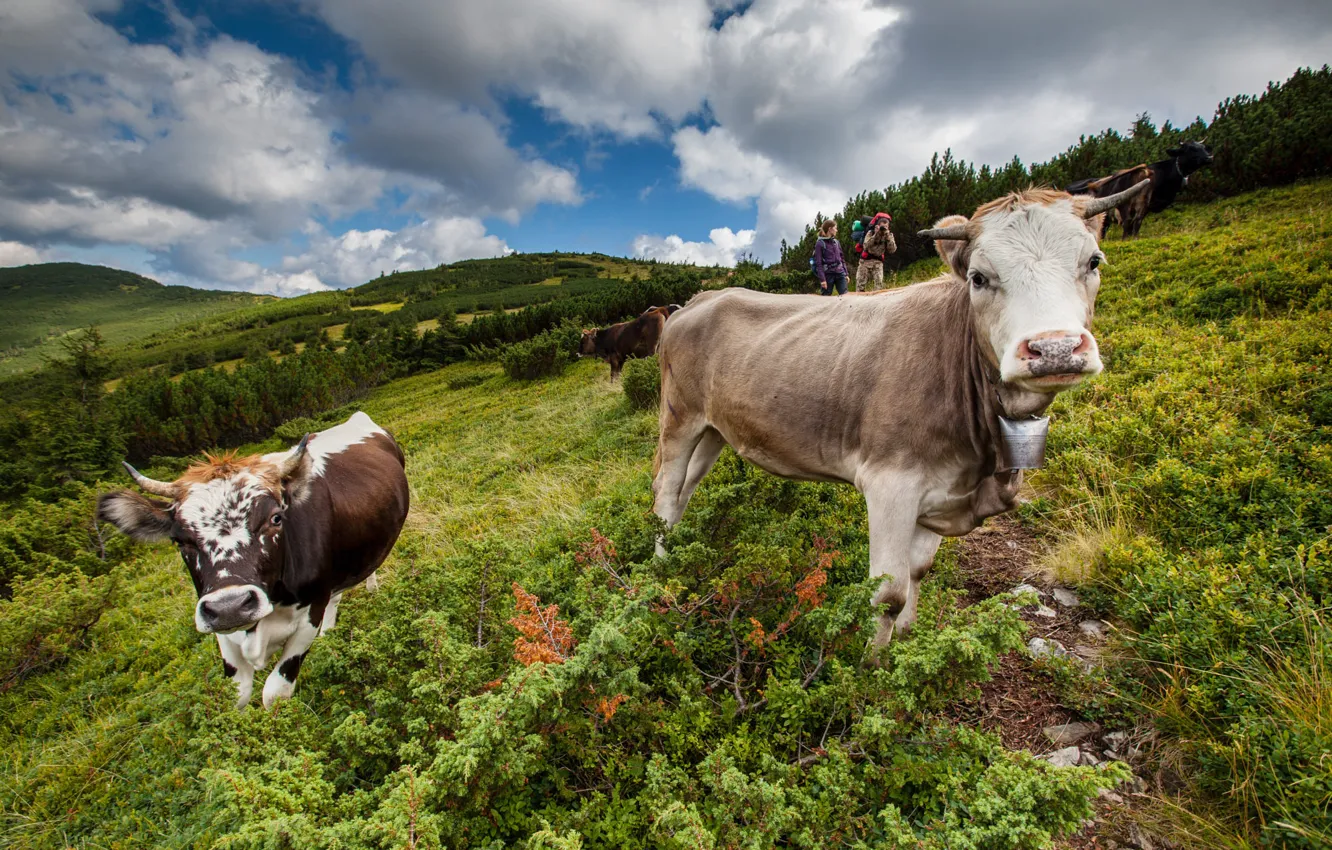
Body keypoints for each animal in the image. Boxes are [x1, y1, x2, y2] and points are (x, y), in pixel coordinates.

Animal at [96, 412, 409, 708]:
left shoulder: (308, 615)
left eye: (275, 518)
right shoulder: (224, 634)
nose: (230, 607)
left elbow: (275, 693)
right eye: (180, 540)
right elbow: (236, 696)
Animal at [650, 181, 1150, 651]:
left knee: (687, 489)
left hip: (714, 429)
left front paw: (903, 649)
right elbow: (888, 595)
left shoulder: (944, 489)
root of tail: (699, 299)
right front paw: (869, 672)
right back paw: (659, 574)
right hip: (679, 417)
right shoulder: (891, 482)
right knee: (666, 492)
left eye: (1094, 262)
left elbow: (919, 573)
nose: (1054, 349)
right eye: (979, 278)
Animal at [1066, 140, 1212, 238]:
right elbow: (1128, 222)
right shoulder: (1125, 204)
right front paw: (1125, 240)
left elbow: (1137, 222)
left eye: (1204, 147)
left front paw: (1133, 238)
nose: (1209, 157)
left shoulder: (1144, 203)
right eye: (1191, 149)